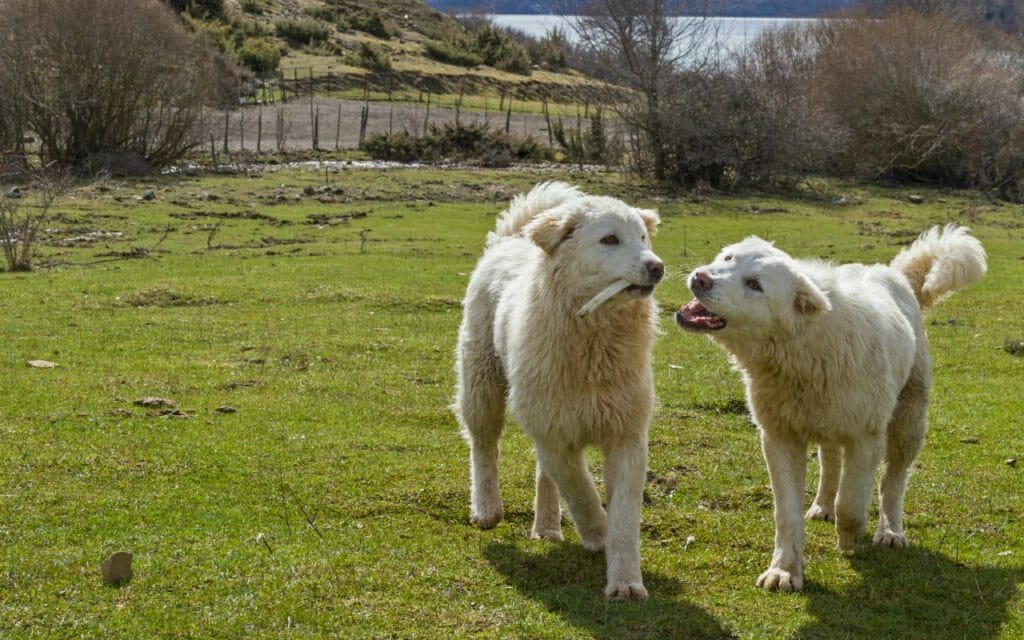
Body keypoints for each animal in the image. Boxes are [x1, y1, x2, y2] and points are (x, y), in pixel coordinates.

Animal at [679, 224, 983, 589]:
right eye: (727, 258)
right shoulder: (779, 438)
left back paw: (890, 530)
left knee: (893, 480)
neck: (802, 348)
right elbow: (787, 514)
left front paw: (850, 541)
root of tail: (891, 272)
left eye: (754, 284)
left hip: (908, 421)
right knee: (830, 462)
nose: (701, 278)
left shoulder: (866, 439)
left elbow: (851, 503)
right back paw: (822, 505)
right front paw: (785, 570)